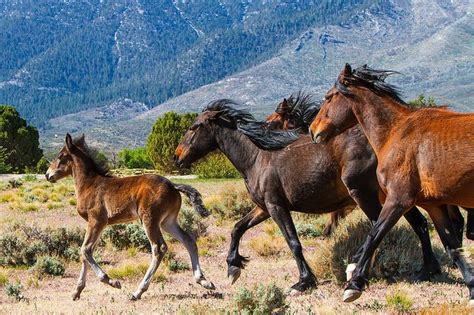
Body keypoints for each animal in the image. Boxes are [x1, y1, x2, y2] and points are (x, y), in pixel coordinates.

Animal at [44, 133, 215, 302]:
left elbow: (85, 250)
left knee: (159, 248)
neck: (89, 185)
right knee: (188, 239)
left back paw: (137, 292)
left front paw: (111, 281)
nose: (47, 174)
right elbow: (86, 251)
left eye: (60, 156)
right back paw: (204, 281)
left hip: (149, 219)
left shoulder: (97, 220)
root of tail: (173, 185)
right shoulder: (97, 224)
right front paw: (77, 291)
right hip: (167, 221)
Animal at [175, 97, 444, 292]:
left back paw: (357, 273)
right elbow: (237, 228)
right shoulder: (264, 208)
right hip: (394, 197)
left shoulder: (276, 207)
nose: (177, 157)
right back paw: (427, 270)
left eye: (193, 127)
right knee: (418, 223)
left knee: (379, 228)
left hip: (364, 195)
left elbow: (293, 242)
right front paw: (233, 268)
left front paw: (304, 282)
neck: (256, 157)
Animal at [312, 63, 474, 304]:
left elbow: (375, 234)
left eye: (329, 97)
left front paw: (354, 284)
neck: (395, 132)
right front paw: (471, 287)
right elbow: (452, 247)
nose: (313, 130)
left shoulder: (398, 199)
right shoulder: (434, 206)